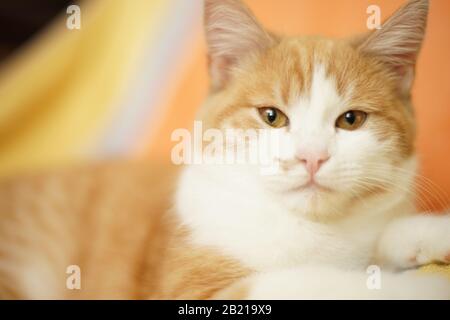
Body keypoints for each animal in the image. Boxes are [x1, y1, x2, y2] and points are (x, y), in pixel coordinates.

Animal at [0, 0, 450, 300]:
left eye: (351, 120)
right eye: (272, 117)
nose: (311, 157)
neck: (311, 228)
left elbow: (382, 238)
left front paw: (429, 233)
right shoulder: (196, 288)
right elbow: (321, 282)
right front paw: (416, 287)